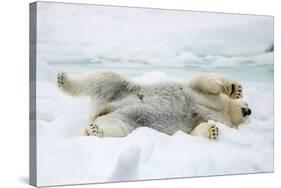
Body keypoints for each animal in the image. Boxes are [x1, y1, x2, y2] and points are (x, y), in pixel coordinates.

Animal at [56, 71, 249, 140]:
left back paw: (93, 130)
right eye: (247, 103)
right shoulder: (203, 96)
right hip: (122, 90)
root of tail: (101, 110)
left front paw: (213, 131)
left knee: (116, 128)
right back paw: (63, 79)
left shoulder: (208, 118)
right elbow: (204, 82)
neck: (224, 111)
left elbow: (195, 129)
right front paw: (234, 88)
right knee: (102, 78)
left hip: (126, 120)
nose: (249, 110)